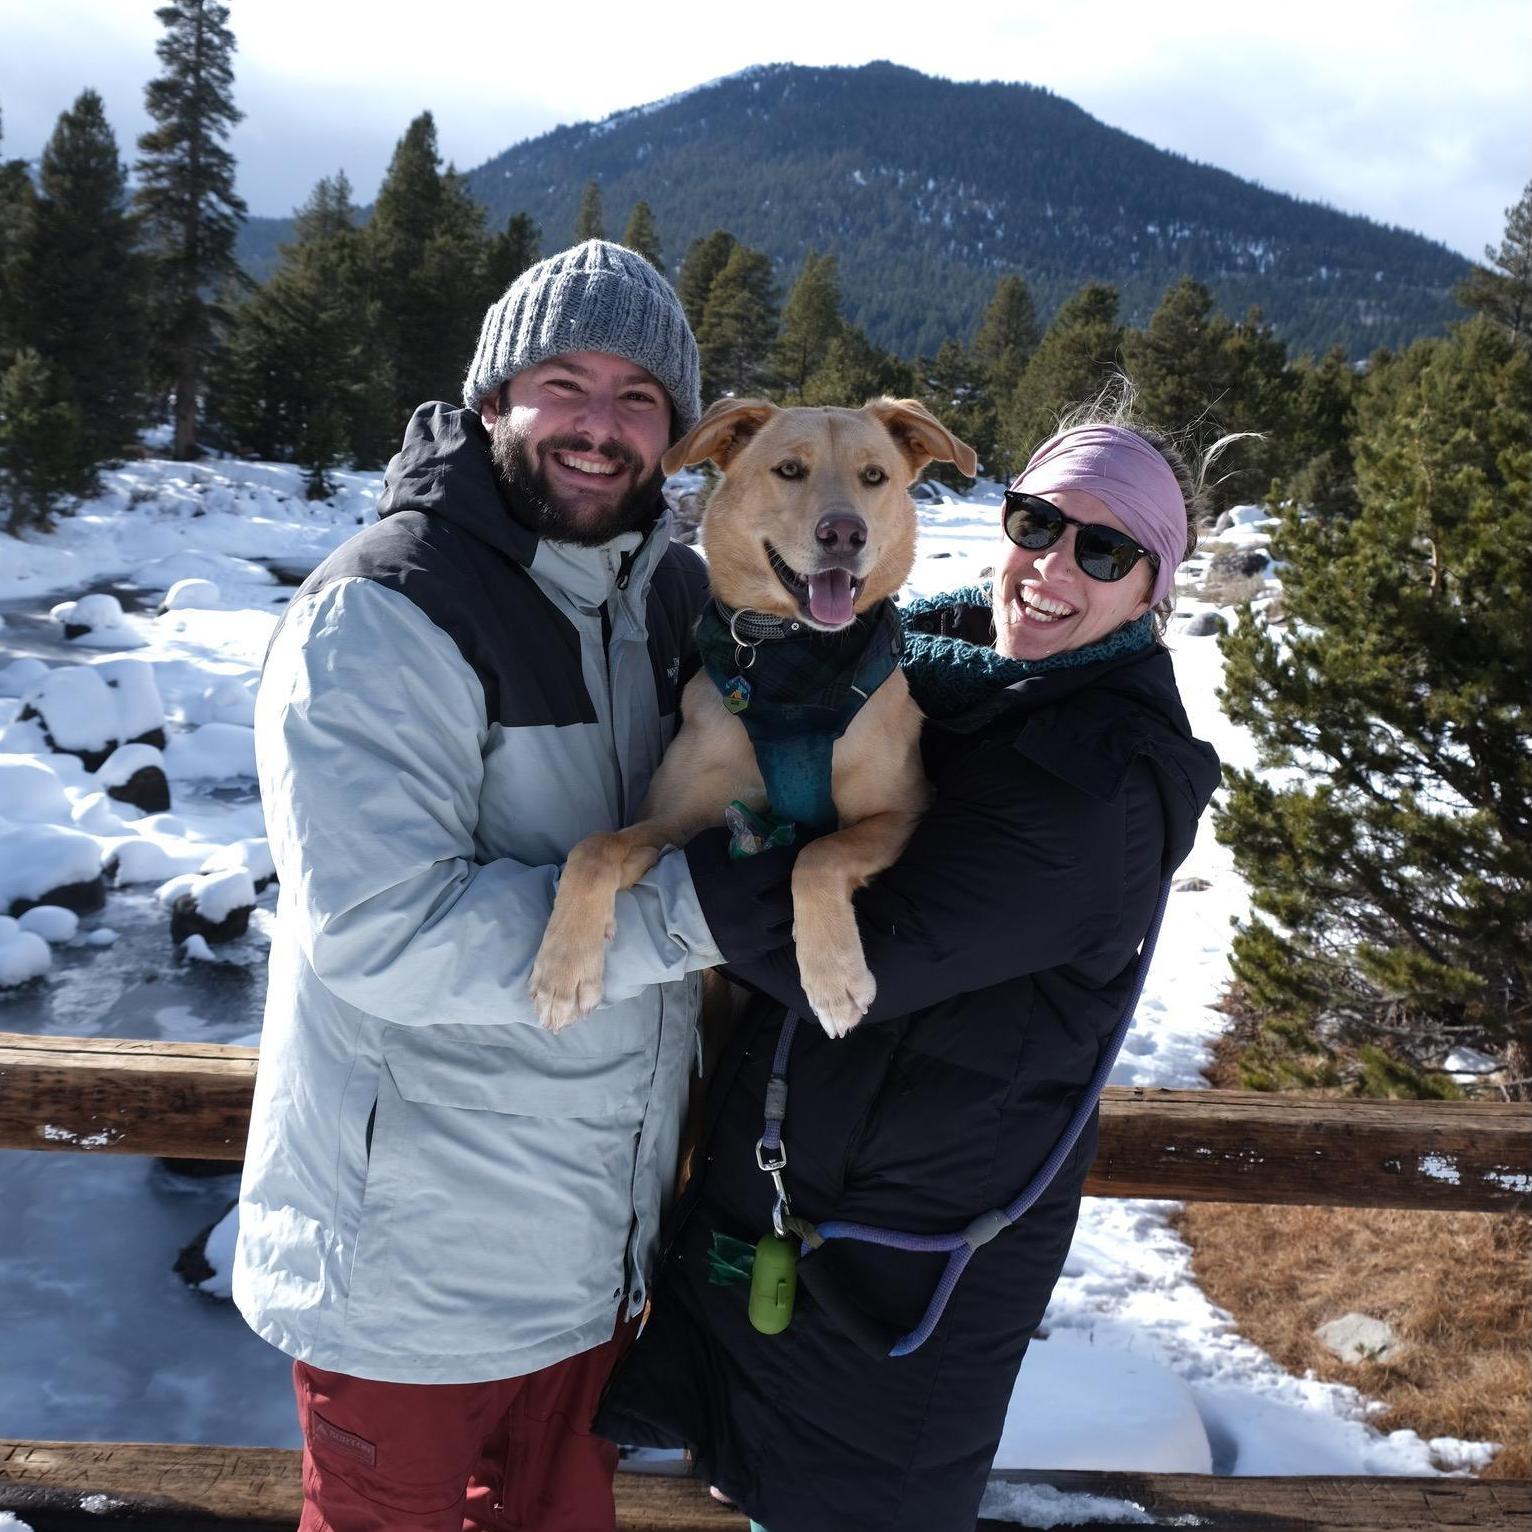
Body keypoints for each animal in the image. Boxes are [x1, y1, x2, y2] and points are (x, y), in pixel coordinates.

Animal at [527, 398, 974, 1041]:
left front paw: (834, 975)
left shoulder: (904, 809)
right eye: (789, 470)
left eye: (874, 476)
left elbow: (818, 854)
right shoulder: (674, 819)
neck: (795, 668)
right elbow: (595, 848)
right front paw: (563, 970)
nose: (844, 534)